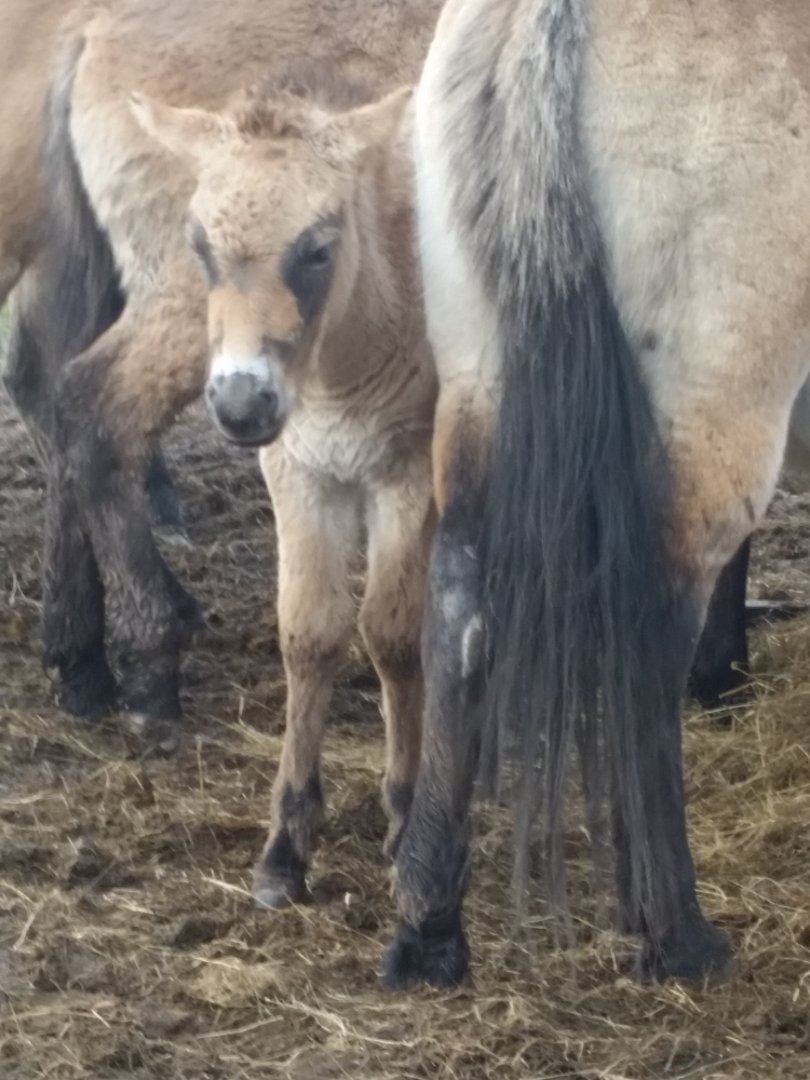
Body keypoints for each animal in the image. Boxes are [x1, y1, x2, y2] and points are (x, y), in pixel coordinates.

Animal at [4, 0, 441, 750]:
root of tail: (92, 33)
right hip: (181, 308)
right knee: (95, 411)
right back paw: (148, 664)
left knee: (53, 391)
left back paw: (79, 658)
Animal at [383, 0, 810, 990]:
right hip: (719, 401)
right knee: (647, 630)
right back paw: (679, 936)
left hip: (483, 378)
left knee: (459, 612)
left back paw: (430, 925)